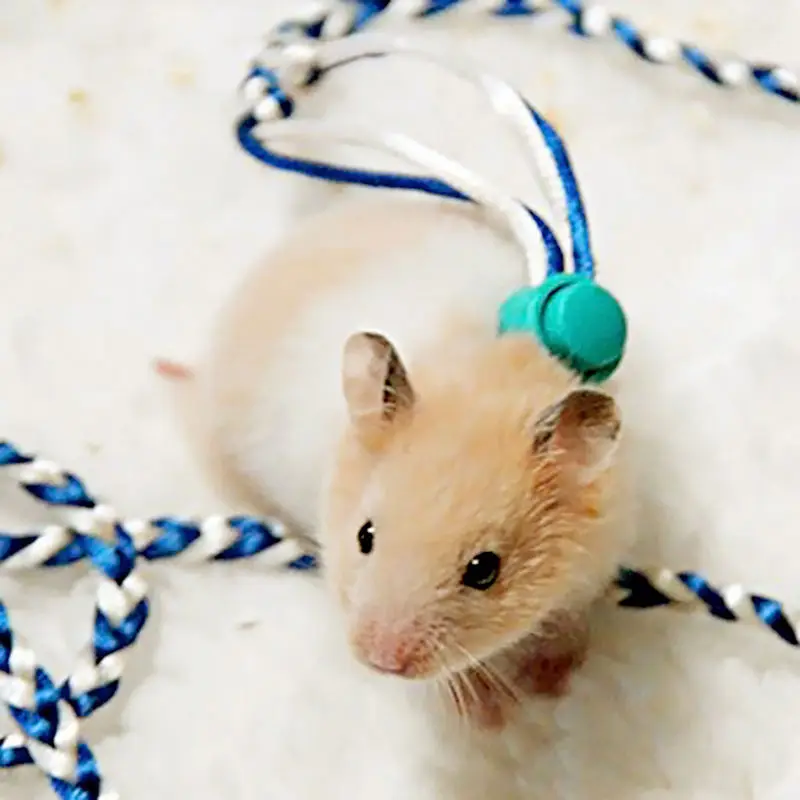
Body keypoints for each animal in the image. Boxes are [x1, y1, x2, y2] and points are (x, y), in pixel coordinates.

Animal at [180, 192, 634, 729]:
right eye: (365, 536)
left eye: (485, 570)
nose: (378, 660)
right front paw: (492, 717)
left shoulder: (594, 564)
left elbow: (568, 622)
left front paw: (551, 683)